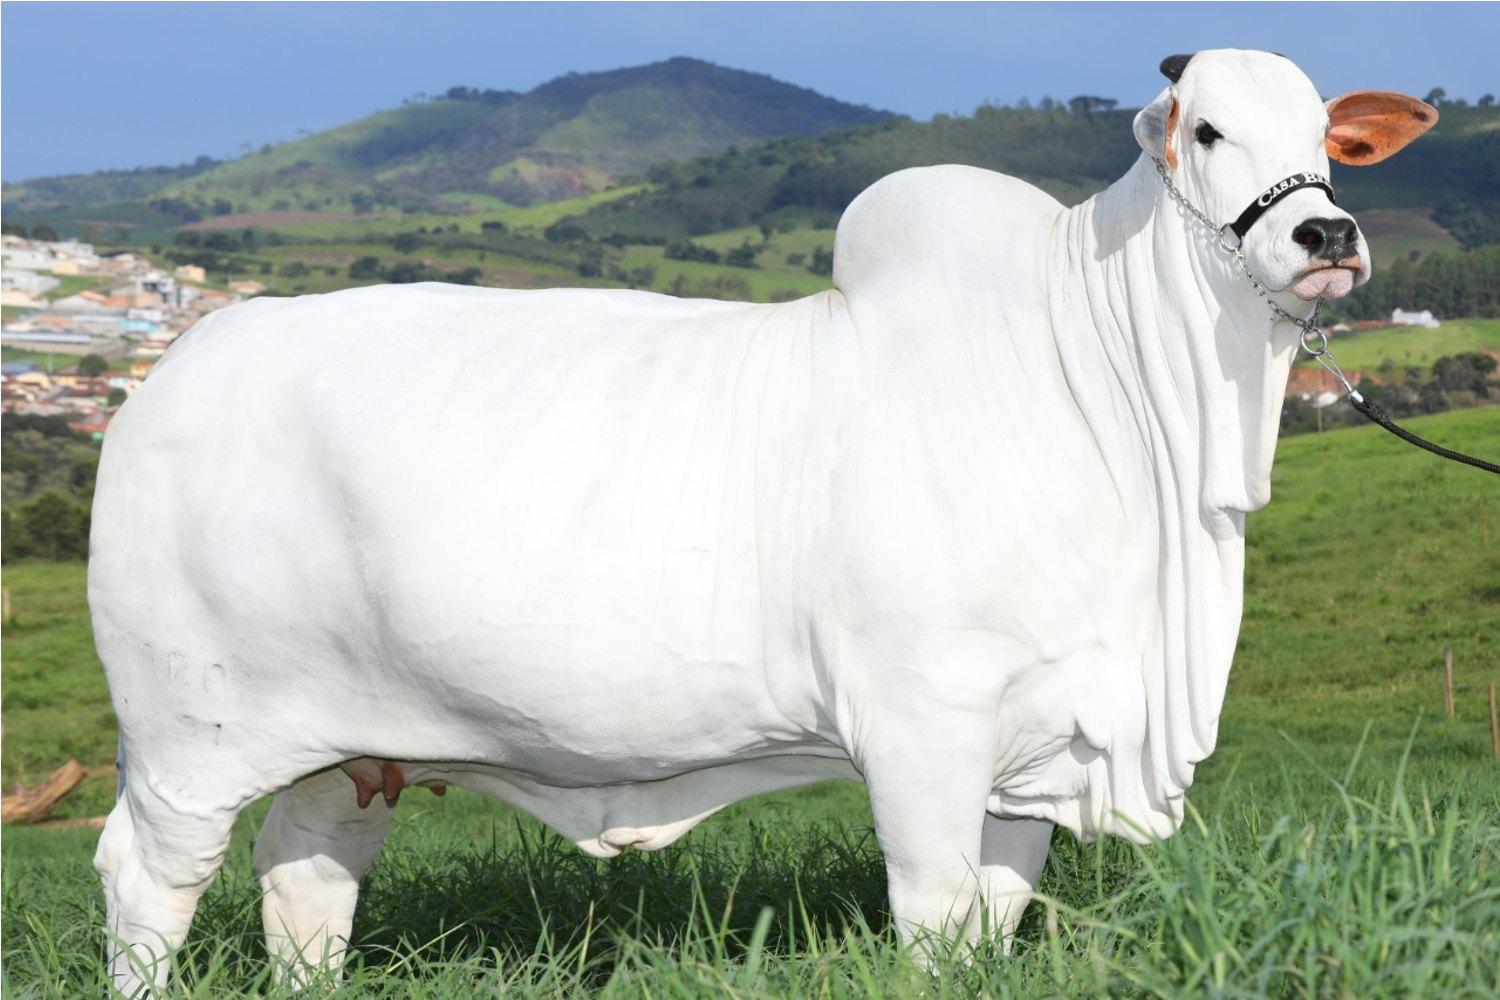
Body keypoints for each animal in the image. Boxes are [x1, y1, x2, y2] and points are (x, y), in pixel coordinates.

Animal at [89, 50, 1435, 992]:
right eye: (1206, 129)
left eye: (1329, 142)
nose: (1326, 233)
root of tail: (175, 367)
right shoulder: (922, 727)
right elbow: (936, 921)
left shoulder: (1034, 751)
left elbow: (993, 922)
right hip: (187, 740)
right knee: (146, 882)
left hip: (350, 749)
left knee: (305, 878)